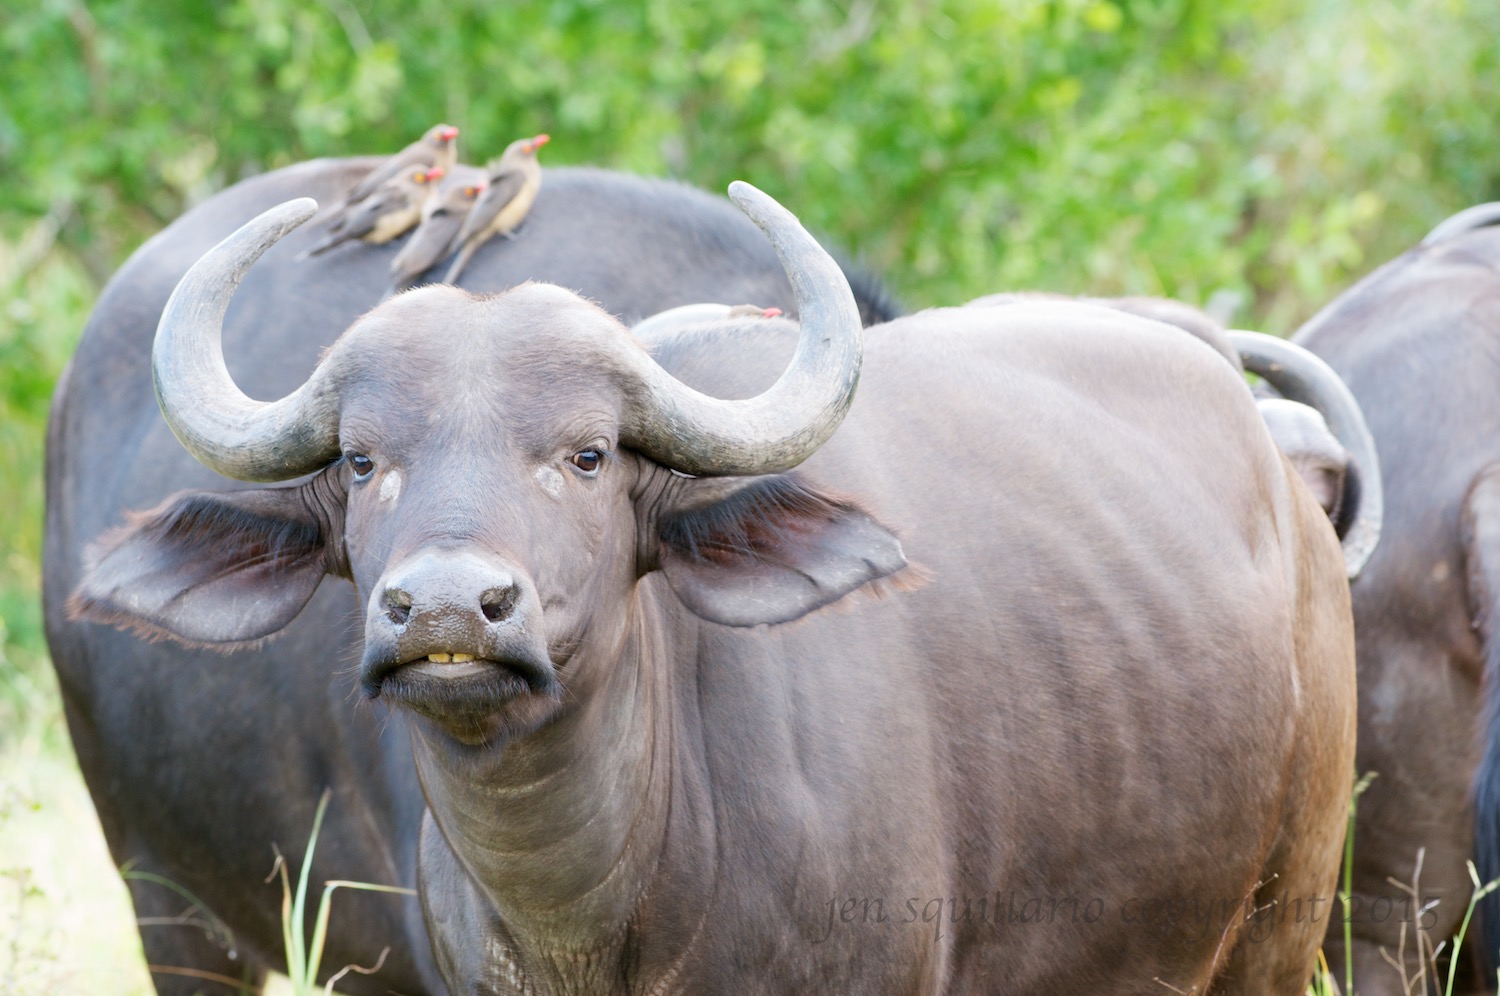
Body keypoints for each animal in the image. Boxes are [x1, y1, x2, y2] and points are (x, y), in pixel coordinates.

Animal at [61, 183, 1374, 990]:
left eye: (590, 455)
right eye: (361, 462)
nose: (444, 611)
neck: (598, 908)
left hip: (1286, 910)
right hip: (164, 902)